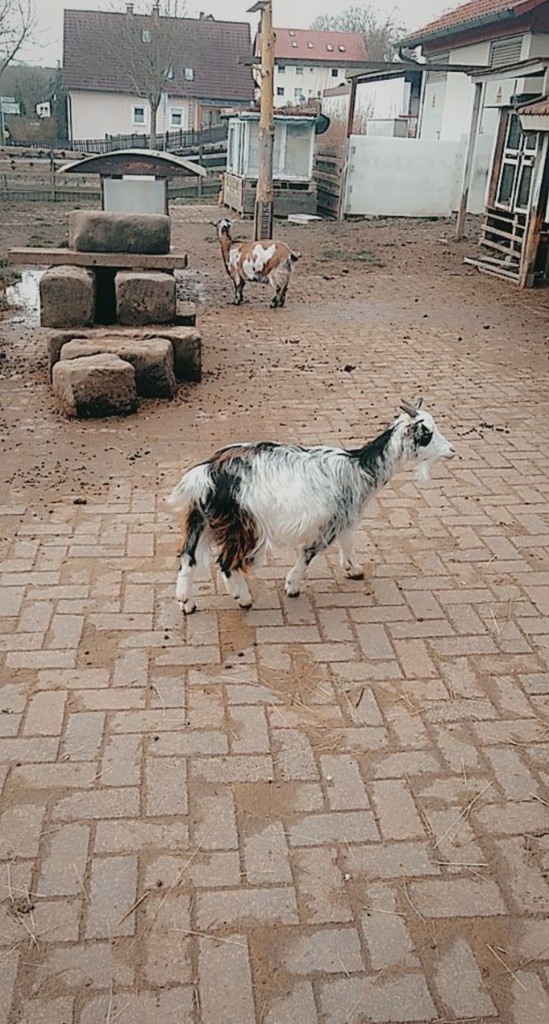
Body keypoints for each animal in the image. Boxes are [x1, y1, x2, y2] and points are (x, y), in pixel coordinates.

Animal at [166, 399, 455, 615]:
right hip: (245, 525)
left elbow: (348, 541)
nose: (452, 450)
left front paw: (353, 569)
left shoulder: (343, 515)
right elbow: (309, 552)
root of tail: (208, 472)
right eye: (427, 434)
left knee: (188, 556)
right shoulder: (329, 522)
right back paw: (243, 598)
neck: (358, 467)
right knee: (226, 562)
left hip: (202, 519)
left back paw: (186, 602)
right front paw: (292, 585)